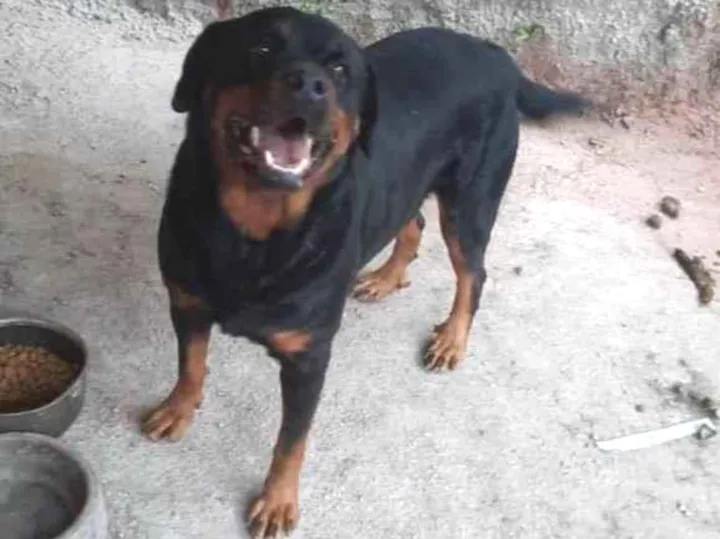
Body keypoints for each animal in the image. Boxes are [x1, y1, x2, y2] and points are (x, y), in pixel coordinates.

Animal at [142, 6, 587, 537]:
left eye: (339, 71)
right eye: (262, 48)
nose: (309, 84)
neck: (254, 232)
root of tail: (497, 54)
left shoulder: (308, 358)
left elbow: (291, 439)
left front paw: (277, 500)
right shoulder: (186, 304)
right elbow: (189, 364)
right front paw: (178, 408)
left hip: (470, 202)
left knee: (473, 274)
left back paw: (451, 338)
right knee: (412, 222)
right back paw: (385, 277)